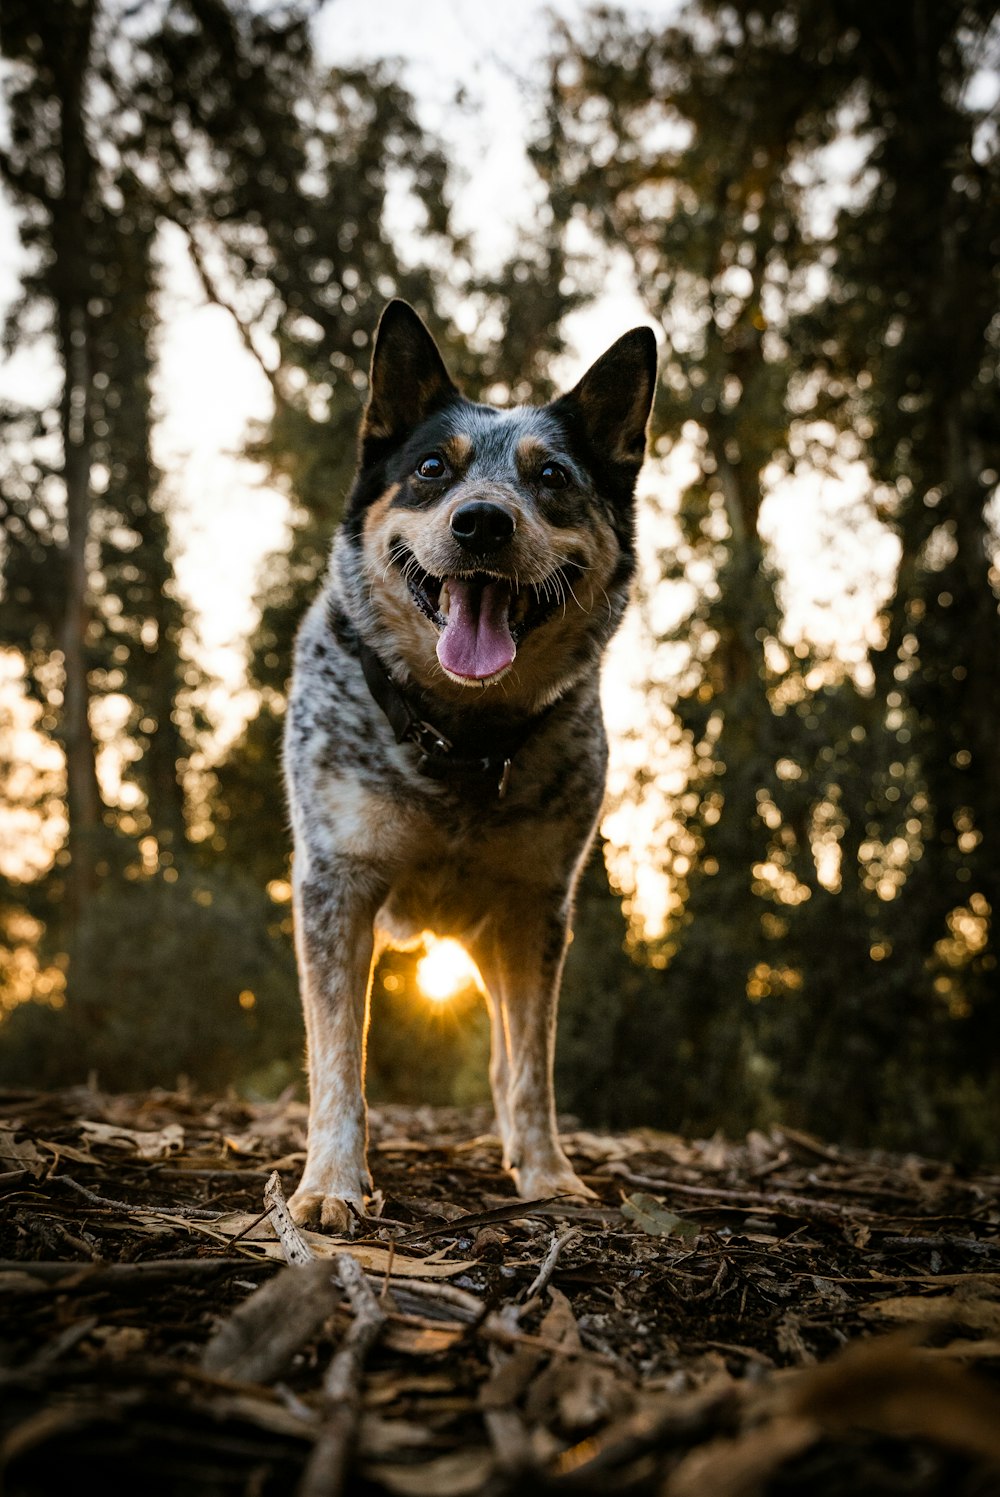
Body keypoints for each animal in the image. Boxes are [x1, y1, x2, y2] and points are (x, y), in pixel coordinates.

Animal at [282, 300, 655, 1227]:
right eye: (429, 468)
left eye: (551, 475)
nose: (482, 520)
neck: (462, 736)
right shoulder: (336, 884)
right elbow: (338, 1058)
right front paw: (331, 1182)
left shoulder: (535, 906)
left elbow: (530, 1066)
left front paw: (550, 1174)